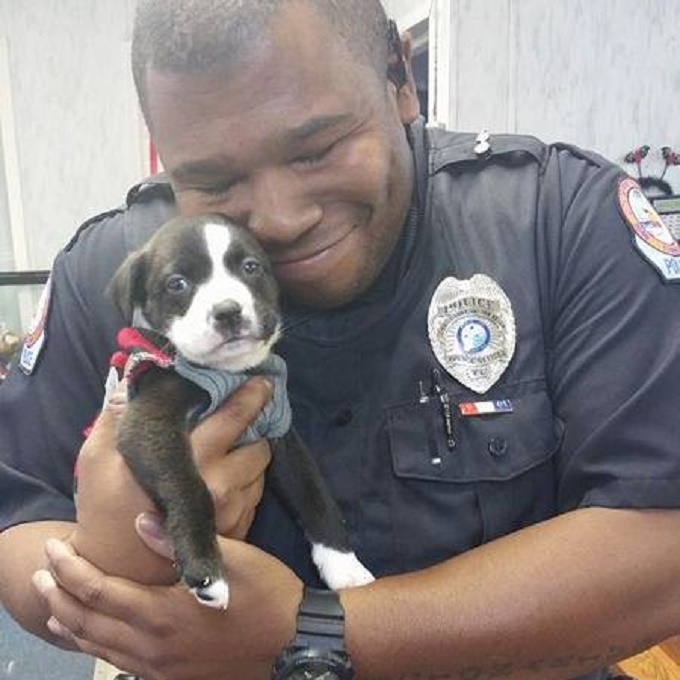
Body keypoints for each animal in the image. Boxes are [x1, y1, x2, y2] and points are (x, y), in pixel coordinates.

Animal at [107, 212, 374, 604]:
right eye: (177, 283)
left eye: (250, 267)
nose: (228, 311)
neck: (229, 373)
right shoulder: (149, 423)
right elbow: (191, 486)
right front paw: (204, 567)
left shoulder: (279, 427)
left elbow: (313, 491)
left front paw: (344, 564)